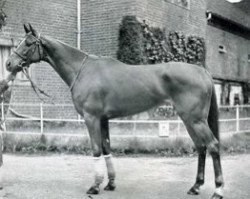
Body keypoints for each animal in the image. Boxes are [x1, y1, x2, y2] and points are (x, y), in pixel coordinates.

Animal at [5, 24, 225, 198]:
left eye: (28, 43)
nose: (8, 64)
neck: (83, 70)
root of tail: (202, 72)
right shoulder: (103, 119)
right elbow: (106, 148)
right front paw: (110, 183)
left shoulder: (91, 118)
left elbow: (96, 149)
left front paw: (94, 186)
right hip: (188, 120)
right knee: (201, 147)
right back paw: (195, 187)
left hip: (196, 120)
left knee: (213, 145)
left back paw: (218, 190)